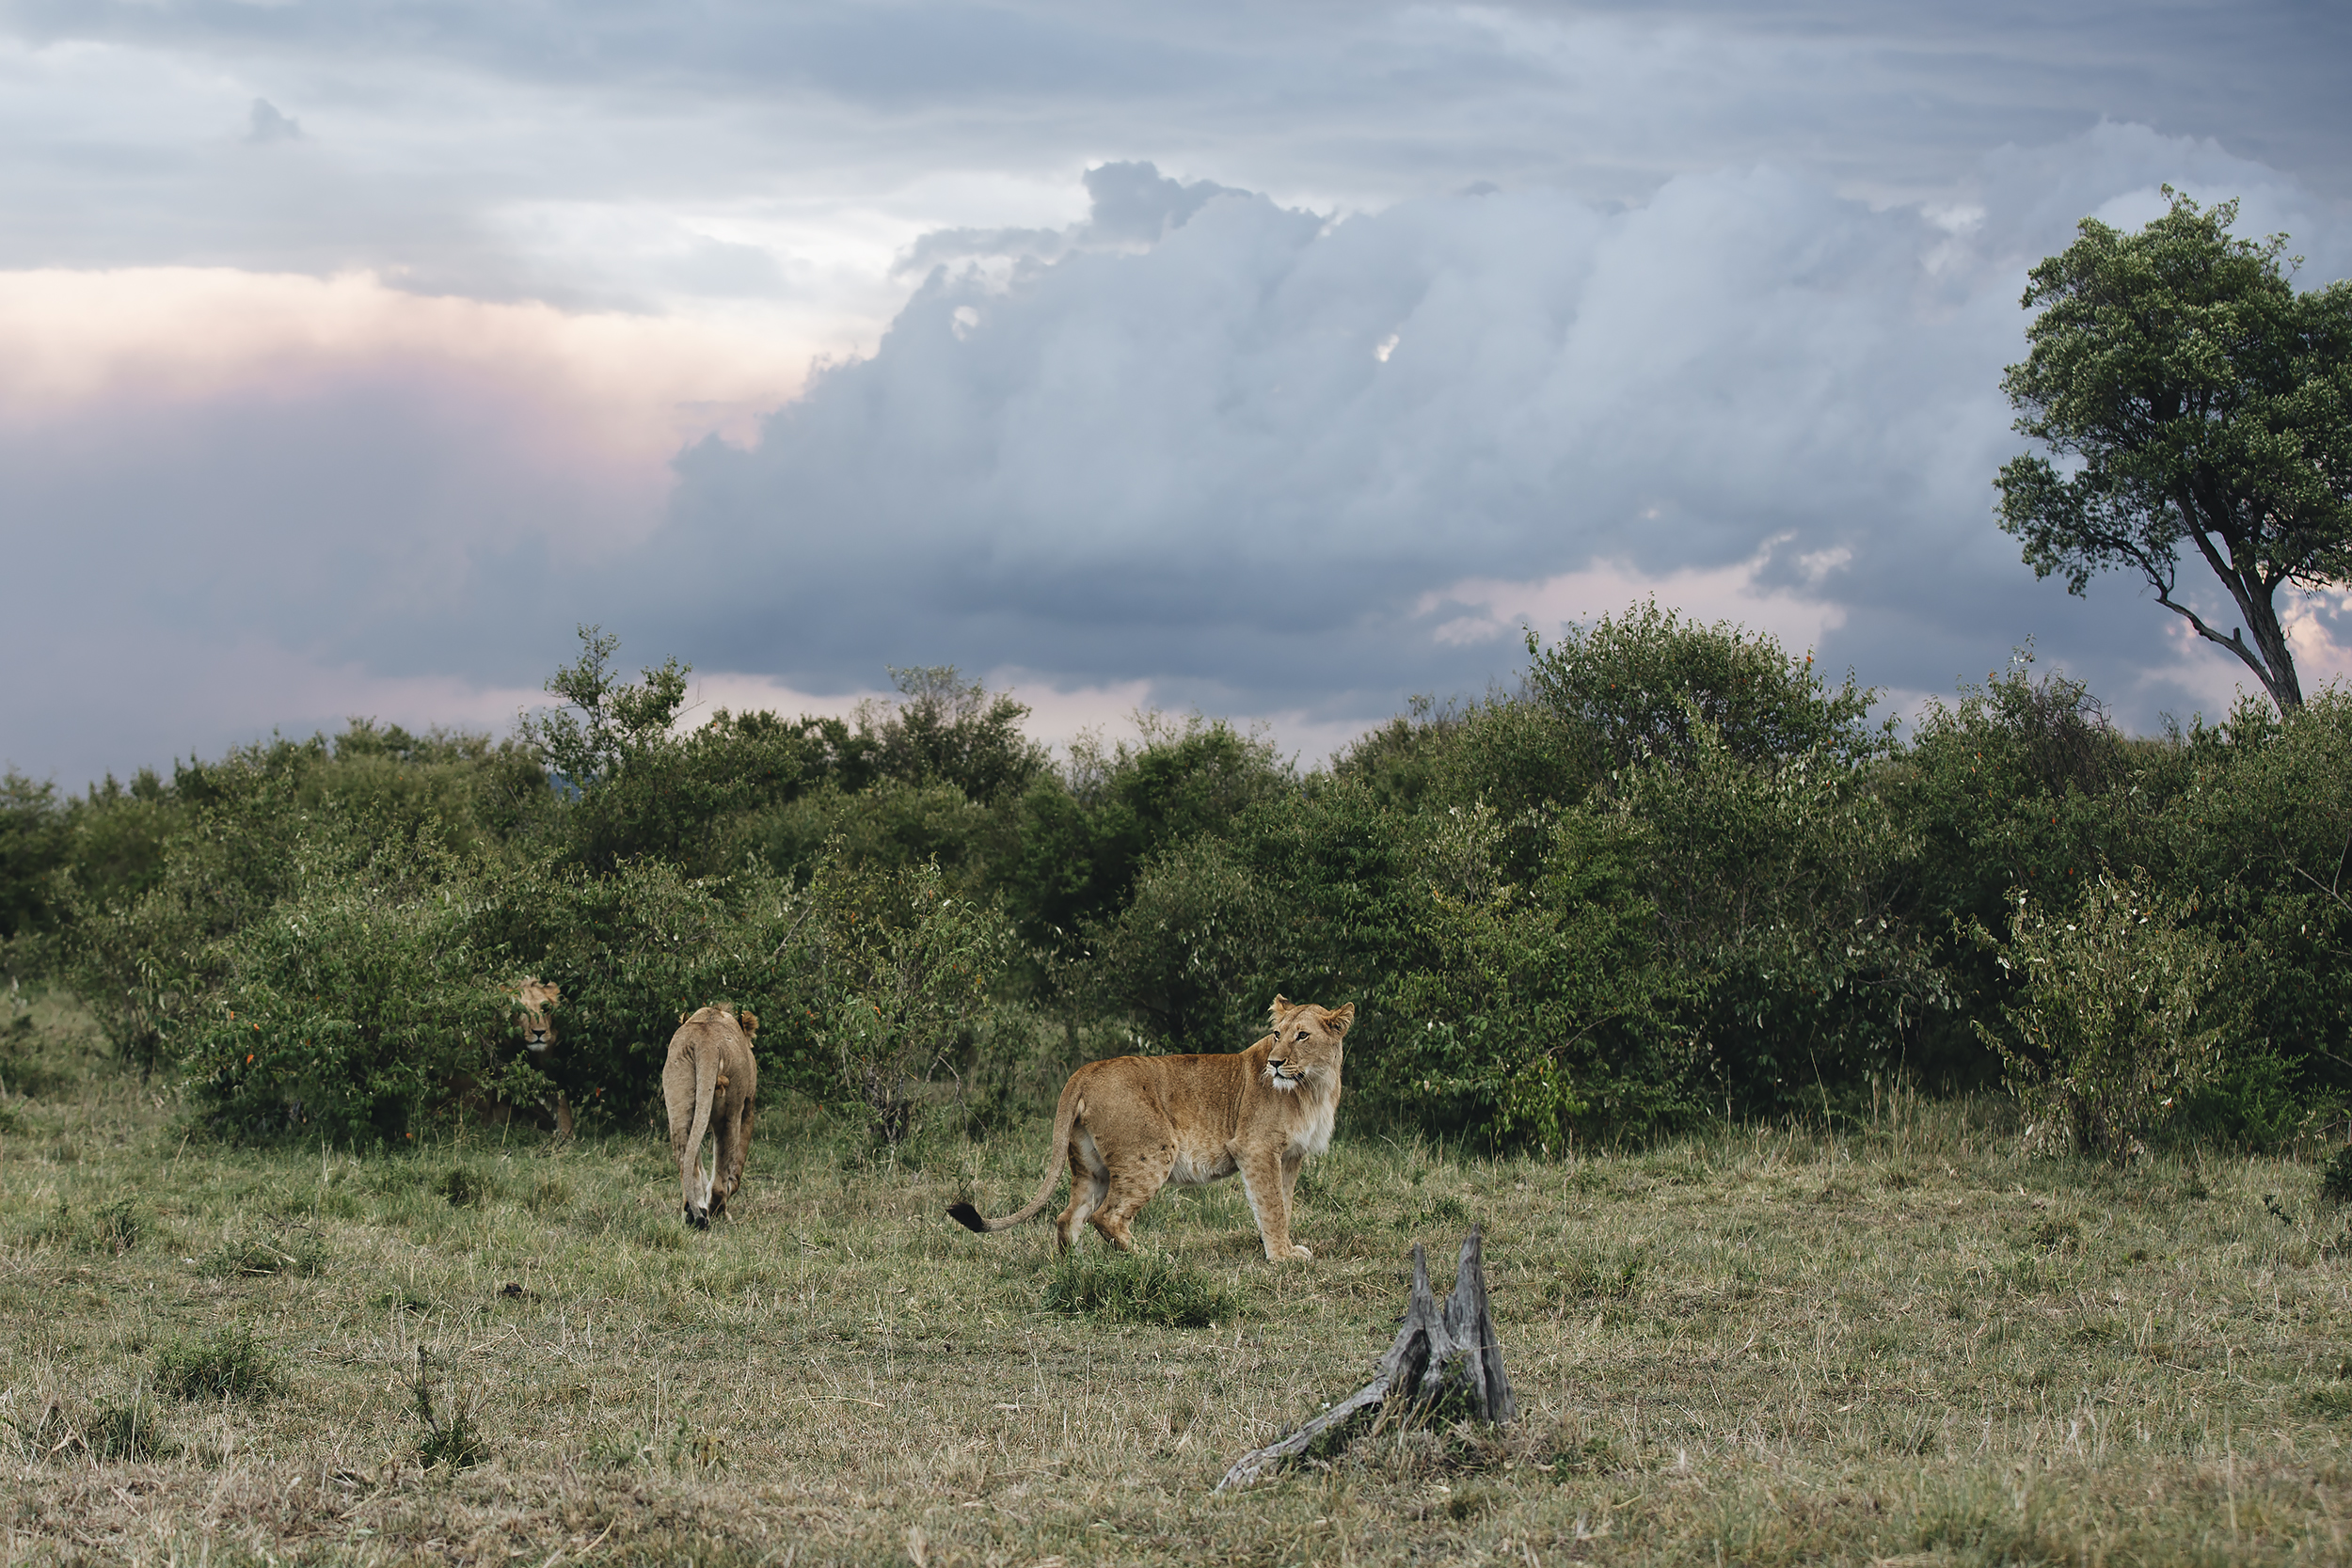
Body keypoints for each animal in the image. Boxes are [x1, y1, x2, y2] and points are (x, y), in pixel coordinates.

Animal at [663, 1010, 762, 1231]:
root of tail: (705, 1042)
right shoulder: (748, 1108)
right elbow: (737, 1164)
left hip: (678, 1101)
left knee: (686, 1159)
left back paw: (694, 1213)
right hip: (731, 1111)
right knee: (722, 1167)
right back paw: (719, 1212)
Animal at [941, 1001, 1355, 1269]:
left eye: (1302, 1036)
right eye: (1277, 1034)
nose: (1275, 1063)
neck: (1314, 1086)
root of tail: (1085, 1071)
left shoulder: (1290, 1155)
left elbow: (1282, 1202)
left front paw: (1279, 1247)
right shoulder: (1255, 1148)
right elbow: (1271, 1206)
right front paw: (1282, 1257)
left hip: (1091, 1167)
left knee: (1067, 1216)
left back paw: (1077, 1268)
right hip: (1152, 1152)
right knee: (1106, 1217)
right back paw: (1152, 1259)